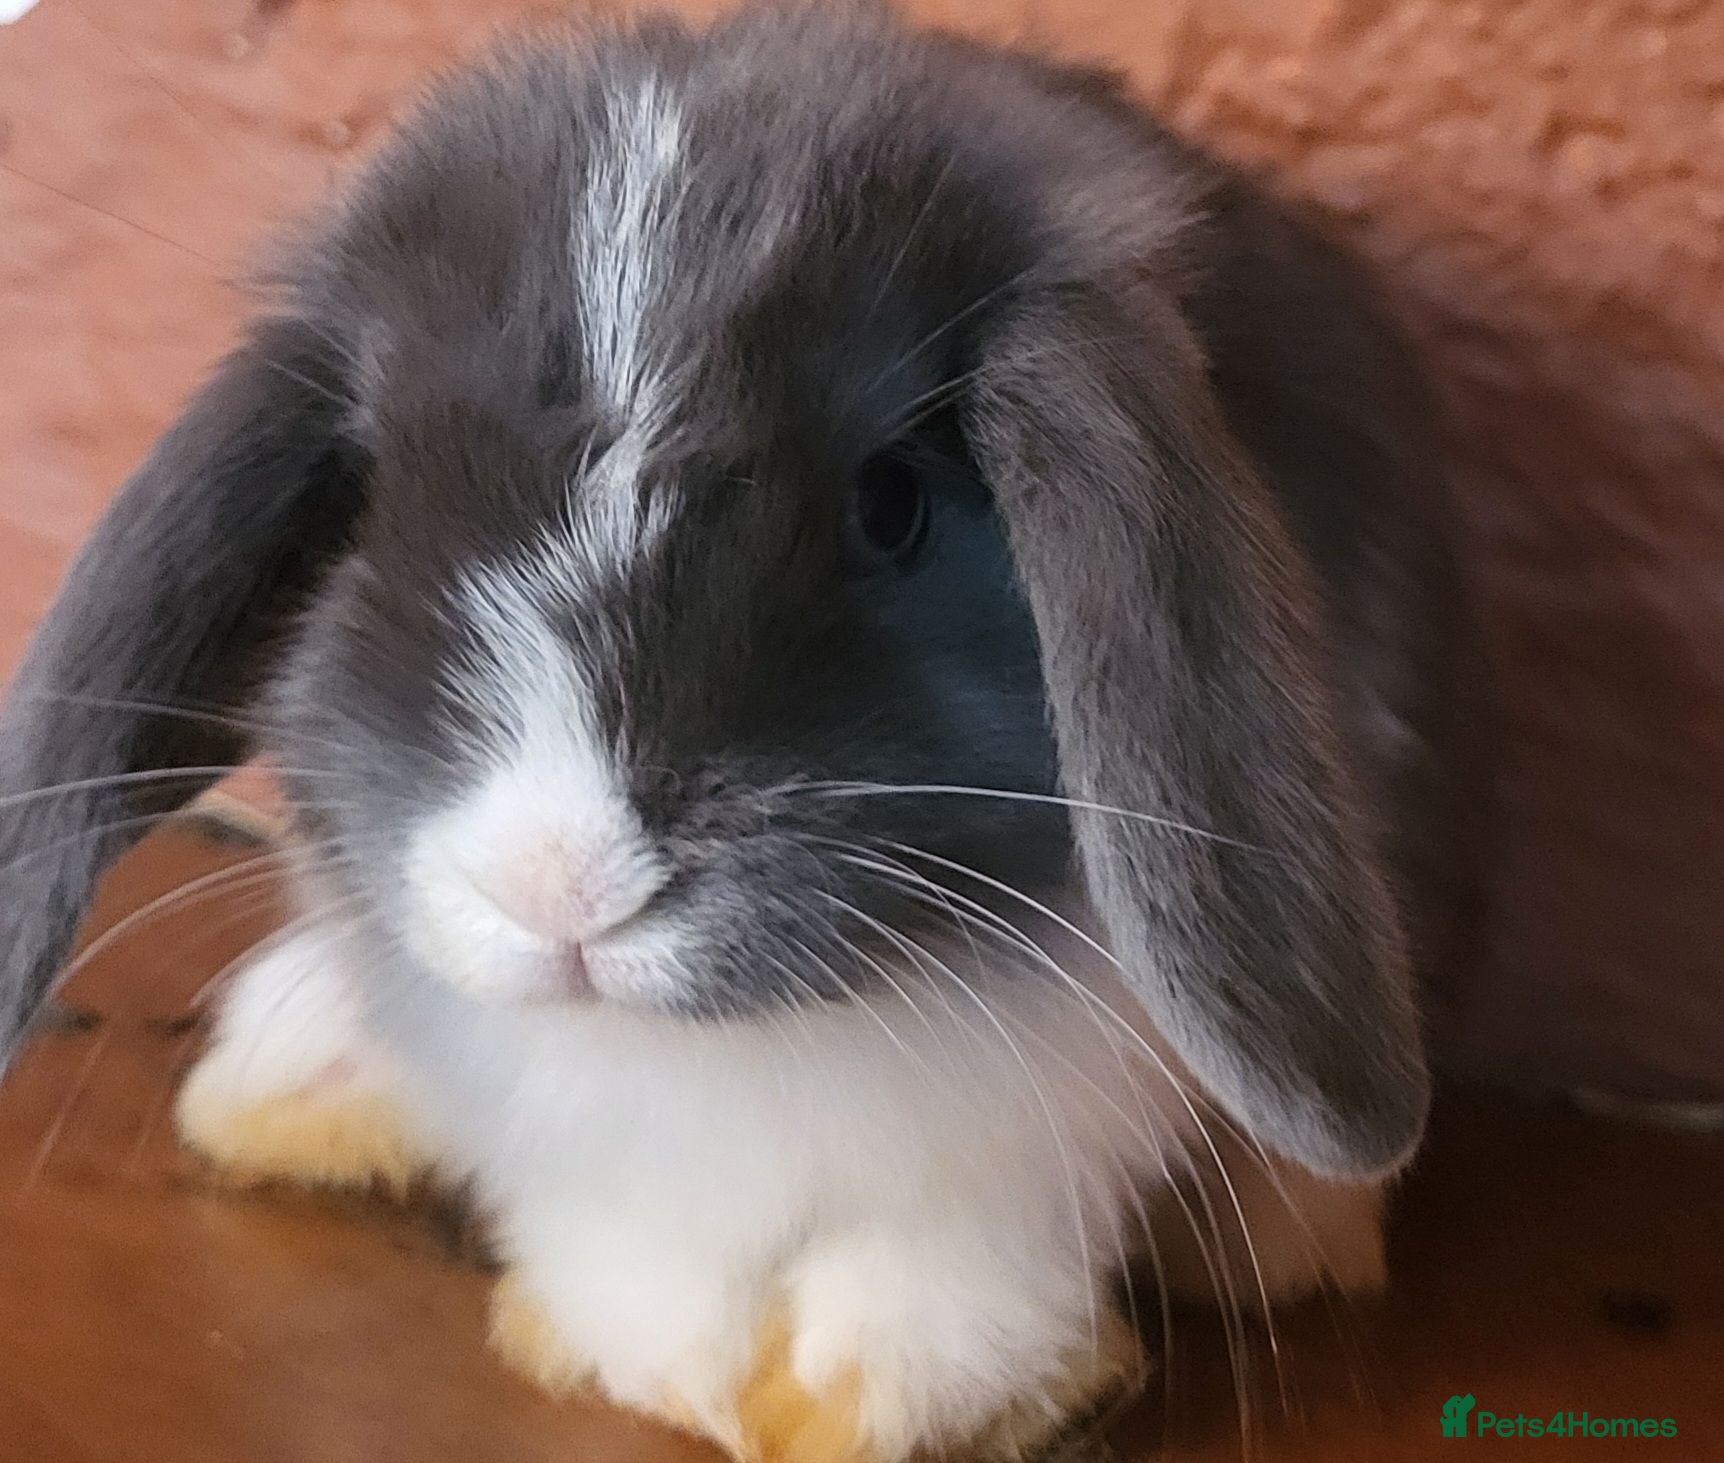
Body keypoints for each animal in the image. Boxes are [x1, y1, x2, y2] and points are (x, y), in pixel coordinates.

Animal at [0, 3, 1459, 1459]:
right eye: (368, 497)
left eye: (891, 501)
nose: (559, 883)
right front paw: (659, 1364)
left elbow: (956, 1257)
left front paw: (854, 1401)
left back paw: (1290, 1238)